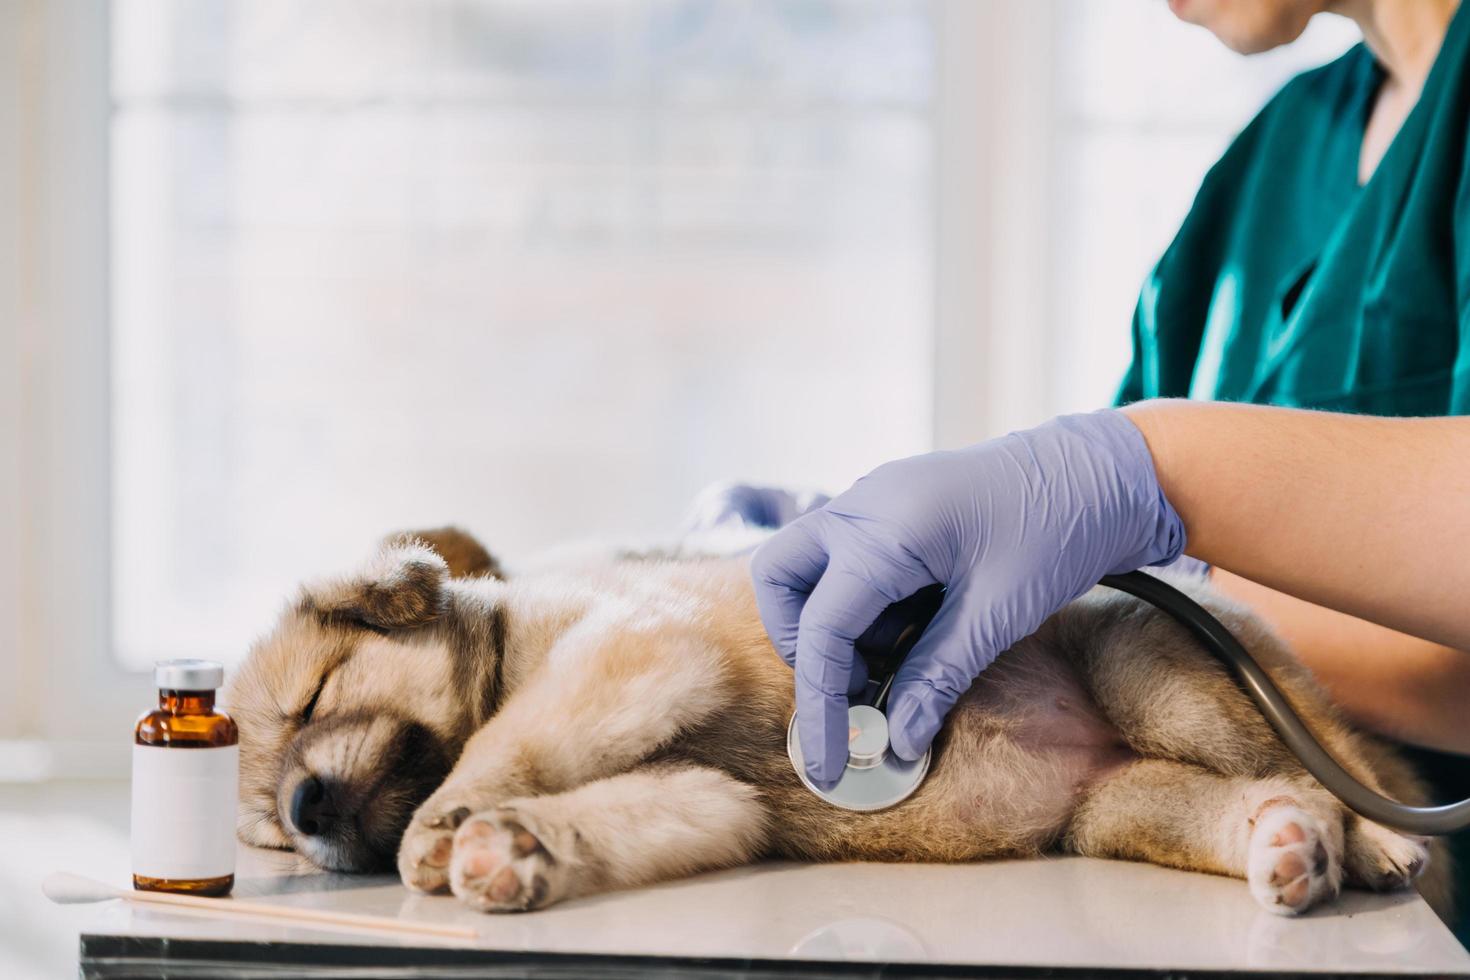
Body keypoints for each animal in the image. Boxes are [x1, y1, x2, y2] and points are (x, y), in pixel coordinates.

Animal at [229, 525, 1446, 916]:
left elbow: (502, 743)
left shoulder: (634, 648)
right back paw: (1286, 848)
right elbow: (614, 809)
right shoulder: (709, 798)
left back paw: (1372, 838)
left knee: (1325, 766)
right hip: (1118, 805)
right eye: (272, 824)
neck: (509, 647)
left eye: (318, 694)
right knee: (1255, 797)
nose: (306, 803)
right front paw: (515, 850)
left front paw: (448, 827)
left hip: (1157, 672)